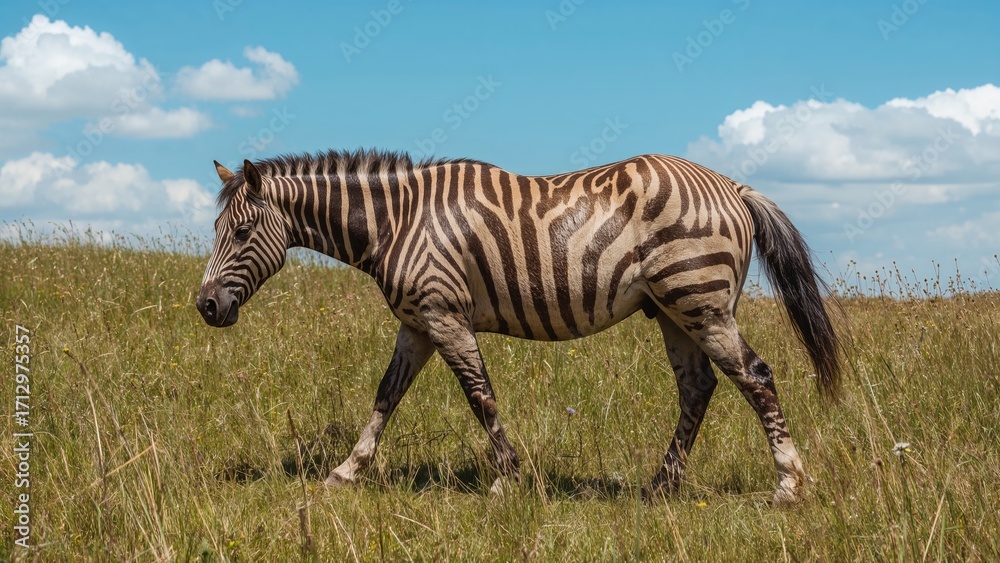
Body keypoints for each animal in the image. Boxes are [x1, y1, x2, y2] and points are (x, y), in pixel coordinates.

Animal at [197, 149, 841, 504]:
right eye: (215, 229)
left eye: (243, 233)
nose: (204, 306)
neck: (398, 223)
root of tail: (731, 184)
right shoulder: (417, 324)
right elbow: (385, 396)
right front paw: (345, 473)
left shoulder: (444, 315)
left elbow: (480, 395)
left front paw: (507, 481)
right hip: (674, 311)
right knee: (699, 387)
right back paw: (661, 487)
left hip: (700, 302)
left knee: (755, 376)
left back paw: (788, 485)